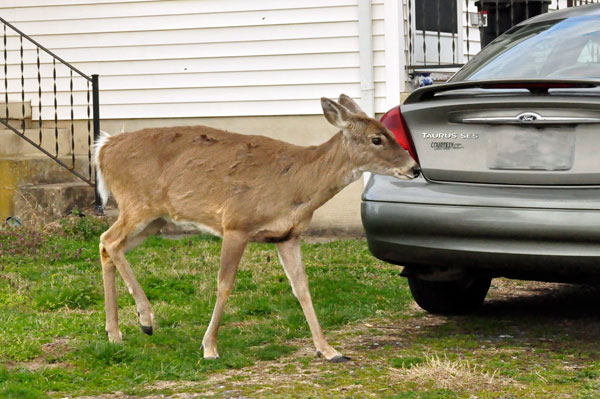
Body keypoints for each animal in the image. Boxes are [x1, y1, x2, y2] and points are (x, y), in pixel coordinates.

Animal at [96, 94, 420, 362]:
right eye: (377, 139)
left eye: (390, 133)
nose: (414, 168)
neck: (298, 184)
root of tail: (103, 149)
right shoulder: (236, 224)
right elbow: (225, 284)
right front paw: (209, 347)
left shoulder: (288, 235)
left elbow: (302, 287)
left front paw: (328, 350)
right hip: (138, 203)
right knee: (110, 240)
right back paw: (145, 318)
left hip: (157, 219)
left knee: (107, 243)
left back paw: (115, 333)